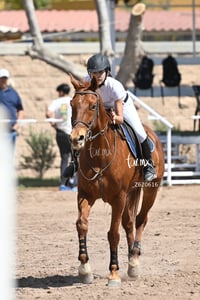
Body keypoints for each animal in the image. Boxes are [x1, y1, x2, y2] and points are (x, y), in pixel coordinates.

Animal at [69, 74, 164, 288]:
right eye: (71, 104)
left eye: (92, 106)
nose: (76, 139)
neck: (100, 154)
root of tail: (153, 134)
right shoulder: (85, 195)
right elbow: (82, 224)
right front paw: (84, 269)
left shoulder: (118, 199)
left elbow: (113, 233)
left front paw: (113, 273)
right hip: (132, 192)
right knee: (129, 223)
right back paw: (131, 263)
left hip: (151, 190)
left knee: (140, 220)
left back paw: (134, 261)